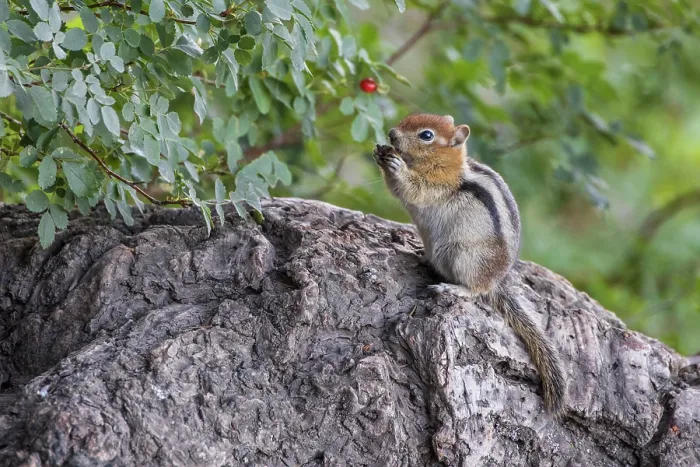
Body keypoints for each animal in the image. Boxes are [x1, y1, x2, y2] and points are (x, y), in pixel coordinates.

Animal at [373, 113, 566, 416]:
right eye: (407, 120)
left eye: (426, 135)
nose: (392, 133)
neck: (445, 163)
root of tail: (496, 281)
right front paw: (380, 154)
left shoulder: (436, 185)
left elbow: (413, 190)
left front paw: (396, 165)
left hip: (464, 257)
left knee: (477, 291)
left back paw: (453, 289)